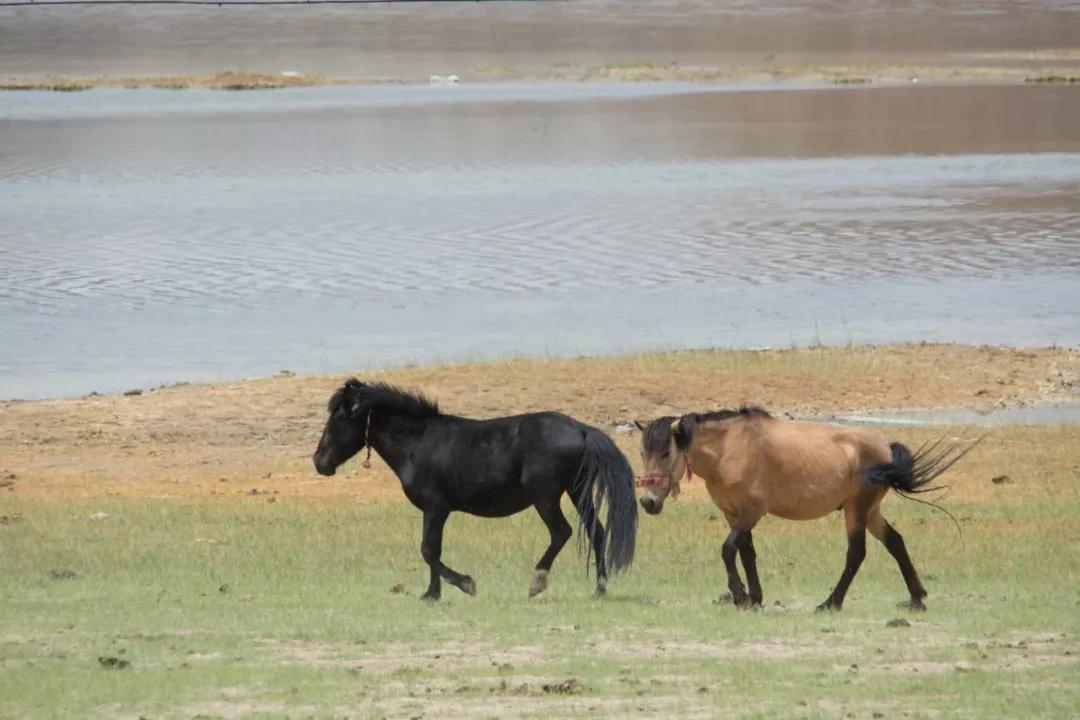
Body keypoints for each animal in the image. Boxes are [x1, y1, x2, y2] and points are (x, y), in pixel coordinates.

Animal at [313, 379, 635, 600]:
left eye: (337, 420)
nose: (319, 462)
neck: (419, 443)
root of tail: (581, 429)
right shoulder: (435, 511)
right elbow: (433, 550)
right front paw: (432, 594)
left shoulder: (436, 508)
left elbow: (428, 550)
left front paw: (464, 584)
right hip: (577, 491)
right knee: (597, 531)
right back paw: (599, 588)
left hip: (545, 497)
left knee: (561, 532)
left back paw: (537, 582)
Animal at [635, 408, 976, 613]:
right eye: (642, 452)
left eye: (665, 453)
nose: (648, 501)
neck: (730, 450)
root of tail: (885, 448)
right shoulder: (734, 514)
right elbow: (747, 553)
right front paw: (755, 598)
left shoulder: (751, 512)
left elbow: (729, 550)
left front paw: (740, 596)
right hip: (871, 512)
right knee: (896, 542)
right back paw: (916, 598)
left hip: (856, 510)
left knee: (857, 553)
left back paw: (831, 603)